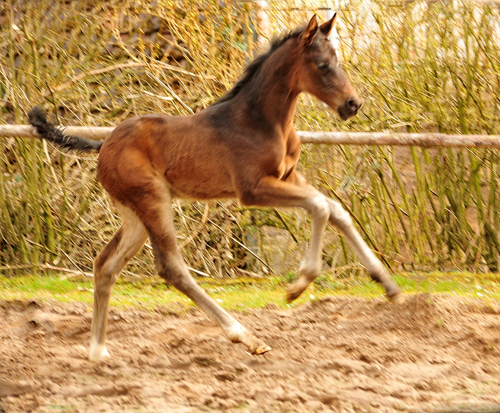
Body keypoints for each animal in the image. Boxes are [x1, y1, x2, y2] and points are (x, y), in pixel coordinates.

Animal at [29, 13, 402, 360]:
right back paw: (245, 336)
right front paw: (298, 285)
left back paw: (97, 350)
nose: (353, 104)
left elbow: (336, 210)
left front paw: (388, 285)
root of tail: (104, 144)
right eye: (323, 65)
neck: (262, 121)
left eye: (338, 60)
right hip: (153, 200)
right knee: (171, 267)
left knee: (105, 265)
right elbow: (321, 207)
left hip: (133, 214)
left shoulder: (288, 177)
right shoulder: (252, 189)